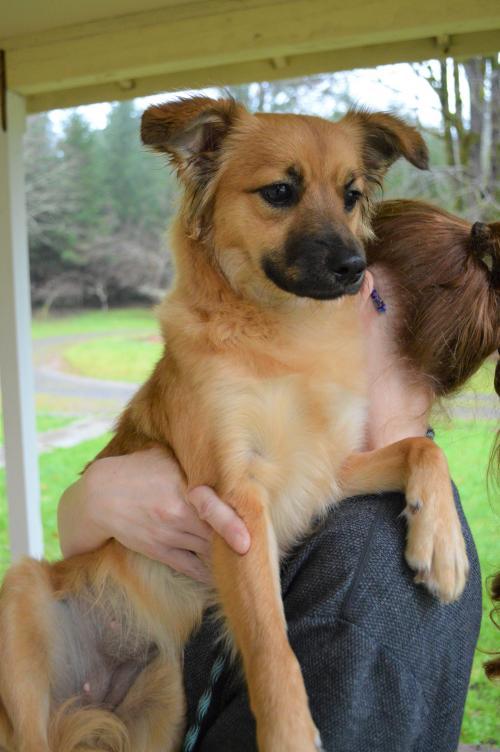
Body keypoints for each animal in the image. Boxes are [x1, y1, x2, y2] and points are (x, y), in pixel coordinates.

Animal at [0, 100, 468, 752]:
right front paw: (290, 732)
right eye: (280, 191)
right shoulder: (237, 500)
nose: (355, 267)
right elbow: (271, 641)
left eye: (350, 195)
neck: (283, 341)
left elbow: (421, 452)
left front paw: (443, 546)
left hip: (160, 708)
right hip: (20, 608)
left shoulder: (324, 473)